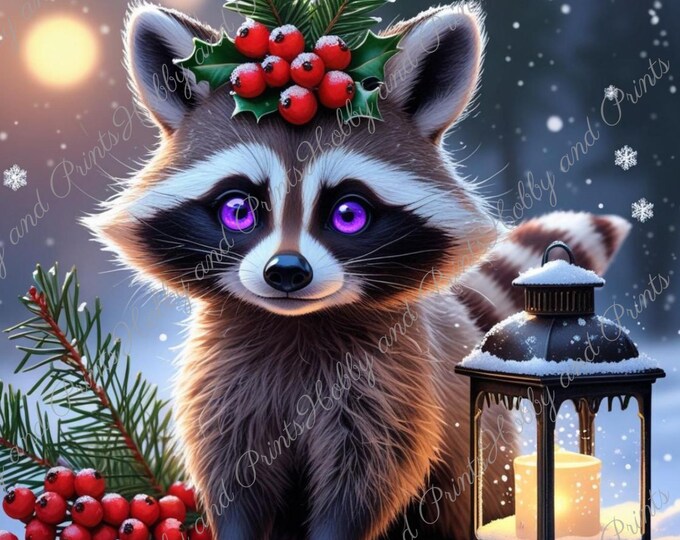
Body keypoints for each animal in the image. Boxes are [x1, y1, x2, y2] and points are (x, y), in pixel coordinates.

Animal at [85, 2, 631, 539]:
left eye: (348, 214)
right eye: (238, 210)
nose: (287, 272)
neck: (295, 325)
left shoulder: (393, 380)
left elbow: (367, 481)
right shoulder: (223, 382)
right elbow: (235, 479)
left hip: (484, 448)